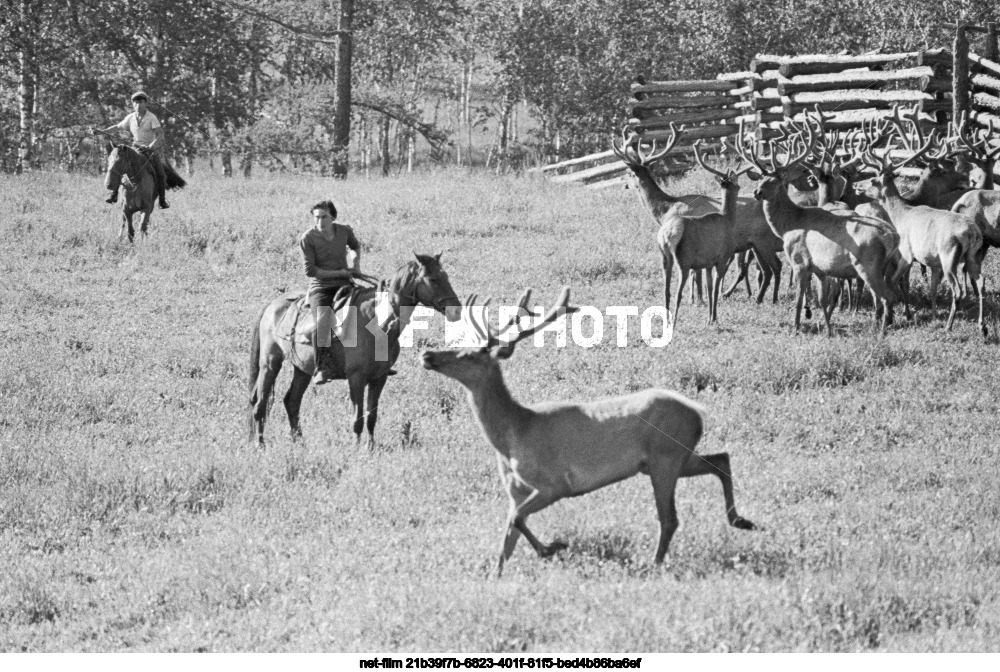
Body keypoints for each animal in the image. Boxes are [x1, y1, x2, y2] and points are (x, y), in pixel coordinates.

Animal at [250, 255, 460, 448]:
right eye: (432, 279)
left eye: (446, 276)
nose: (456, 310)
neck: (376, 323)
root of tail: (272, 306)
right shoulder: (356, 378)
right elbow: (357, 419)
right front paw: (357, 451)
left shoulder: (379, 378)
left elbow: (371, 417)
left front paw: (370, 449)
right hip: (270, 363)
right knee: (260, 404)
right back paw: (261, 445)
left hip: (302, 369)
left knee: (292, 402)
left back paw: (300, 445)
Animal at [422, 286, 756, 576]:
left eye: (470, 354)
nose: (427, 355)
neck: (512, 436)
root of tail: (698, 413)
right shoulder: (515, 491)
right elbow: (506, 540)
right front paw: (495, 577)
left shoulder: (556, 483)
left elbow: (517, 521)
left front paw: (553, 547)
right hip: (674, 458)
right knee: (721, 458)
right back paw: (741, 520)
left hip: (666, 457)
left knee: (670, 518)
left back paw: (654, 564)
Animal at [732, 119, 904, 336]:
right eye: (762, 177)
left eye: (777, 179)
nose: (757, 192)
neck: (790, 224)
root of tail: (893, 236)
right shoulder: (821, 269)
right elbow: (822, 299)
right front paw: (827, 329)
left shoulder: (799, 261)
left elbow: (800, 298)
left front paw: (797, 326)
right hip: (884, 266)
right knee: (889, 295)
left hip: (867, 265)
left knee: (886, 297)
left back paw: (881, 331)